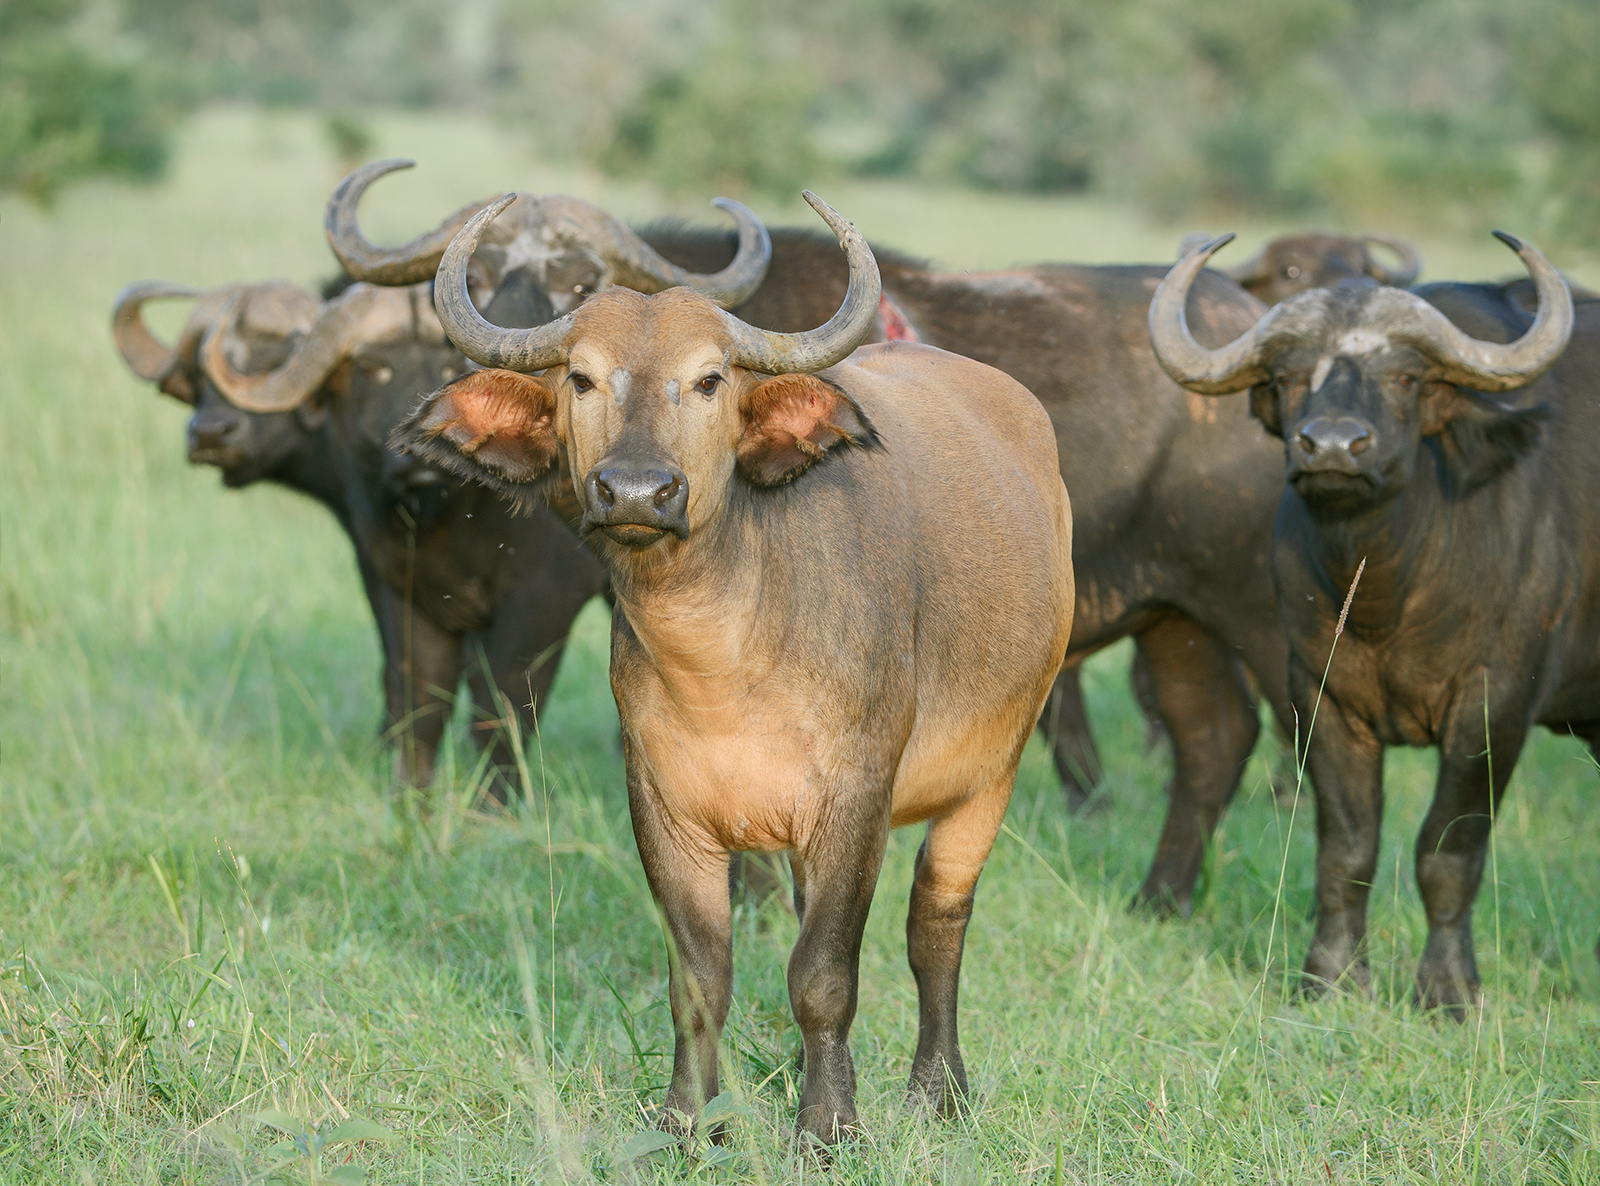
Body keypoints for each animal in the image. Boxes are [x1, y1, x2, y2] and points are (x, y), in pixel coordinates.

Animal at [398, 193, 1075, 1144]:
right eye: (581, 379)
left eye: (711, 378)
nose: (636, 492)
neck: (724, 664)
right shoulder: (666, 810)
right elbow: (699, 978)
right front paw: (691, 1120)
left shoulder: (856, 800)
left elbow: (824, 974)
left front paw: (826, 1126)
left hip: (993, 773)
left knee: (936, 922)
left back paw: (937, 1091)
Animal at [1149, 231, 1595, 1014]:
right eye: (1290, 375)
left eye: (1406, 378)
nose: (1331, 447)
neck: (1389, 591)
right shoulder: (1320, 696)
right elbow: (1346, 847)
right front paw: (1330, 977)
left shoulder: (1496, 705)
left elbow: (1447, 850)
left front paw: (1447, 990)